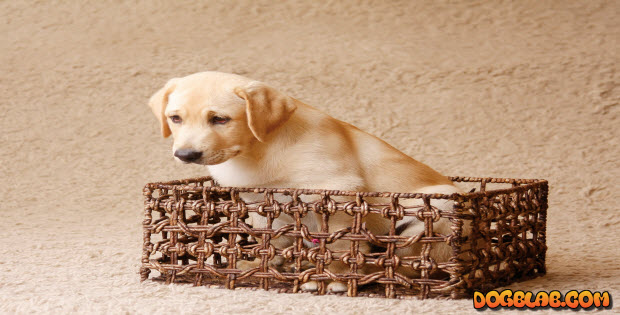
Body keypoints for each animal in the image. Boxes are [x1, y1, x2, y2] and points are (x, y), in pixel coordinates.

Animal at [149, 72, 460, 294]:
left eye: (219, 119)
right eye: (175, 118)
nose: (185, 155)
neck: (256, 152)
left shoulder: (339, 193)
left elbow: (340, 244)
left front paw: (335, 277)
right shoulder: (259, 203)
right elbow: (268, 239)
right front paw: (260, 265)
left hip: (439, 210)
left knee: (409, 269)